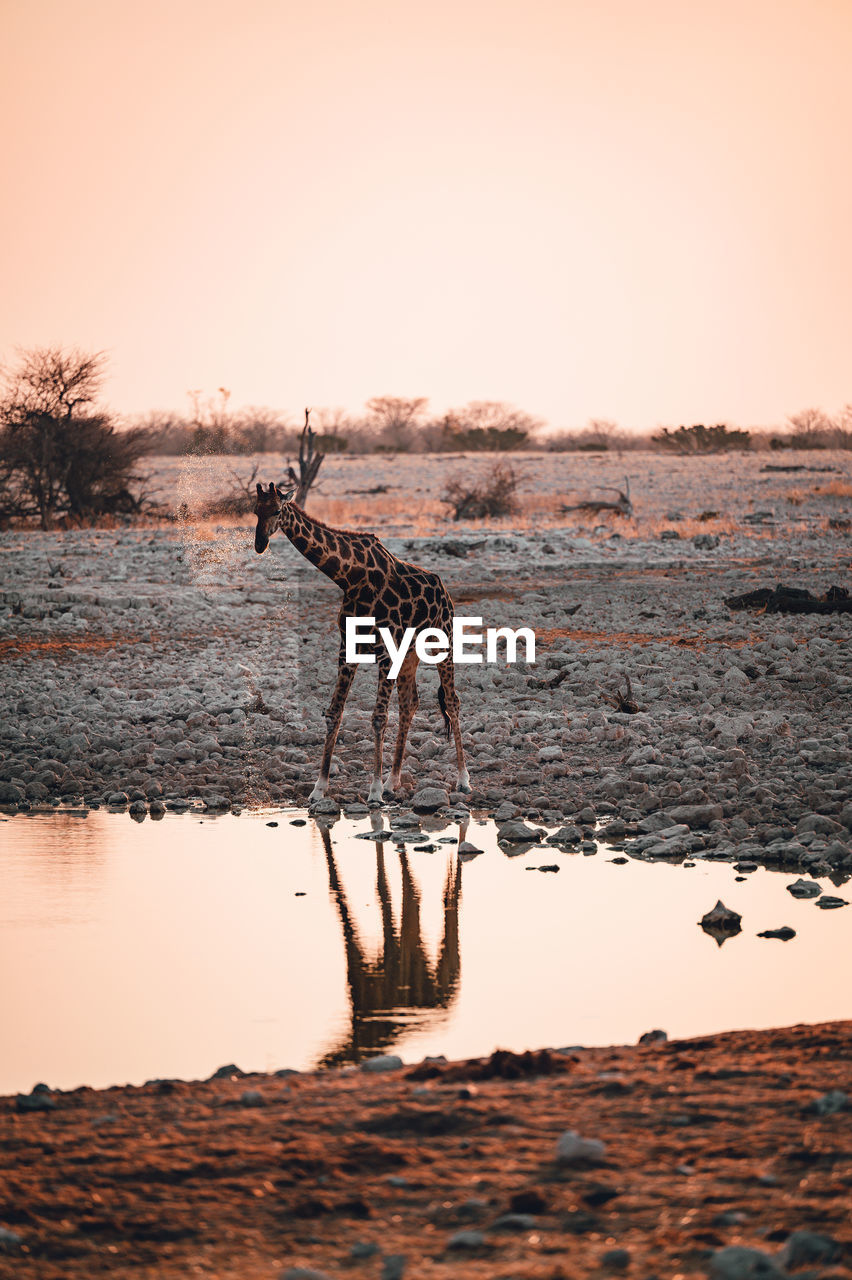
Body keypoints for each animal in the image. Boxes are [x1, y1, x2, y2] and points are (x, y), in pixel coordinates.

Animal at [253, 482, 470, 804]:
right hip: (409, 654)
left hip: (443, 642)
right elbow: (334, 713)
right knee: (410, 703)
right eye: (255, 510)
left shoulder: (385, 652)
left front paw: (374, 791)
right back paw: (394, 781)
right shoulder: (347, 649)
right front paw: (319, 788)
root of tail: (445, 592)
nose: (260, 543)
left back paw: (463, 780)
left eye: (278, 511)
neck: (350, 578)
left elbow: (378, 717)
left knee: (452, 701)